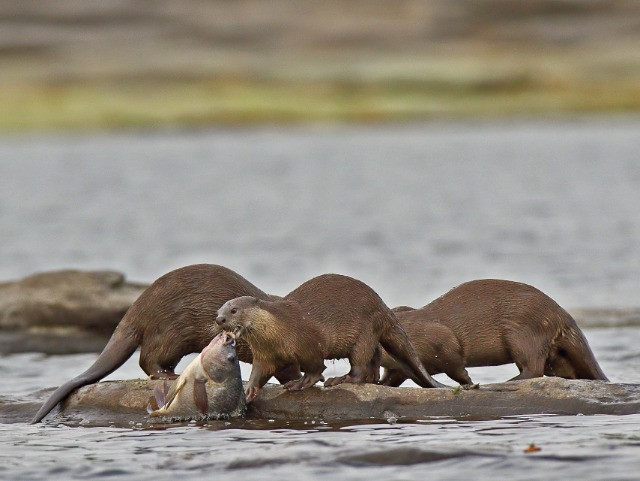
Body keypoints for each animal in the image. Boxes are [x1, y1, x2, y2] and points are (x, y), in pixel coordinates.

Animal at [216, 274, 445, 402]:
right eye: (219, 311)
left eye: (234, 310)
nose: (219, 319)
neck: (279, 329)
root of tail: (383, 307)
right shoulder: (265, 355)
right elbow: (259, 372)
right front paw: (249, 391)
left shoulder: (307, 342)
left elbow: (316, 367)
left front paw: (300, 383)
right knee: (374, 357)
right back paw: (370, 379)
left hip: (364, 331)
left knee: (359, 366)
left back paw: (341, 379)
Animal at [379, 279, 608, 386]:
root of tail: (561, 314)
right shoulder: (398, 367)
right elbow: (393, 377)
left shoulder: (441, 340)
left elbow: (456, 366)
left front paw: (470, 383)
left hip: (522, 331)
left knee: (533, 367)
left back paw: (507, 382)